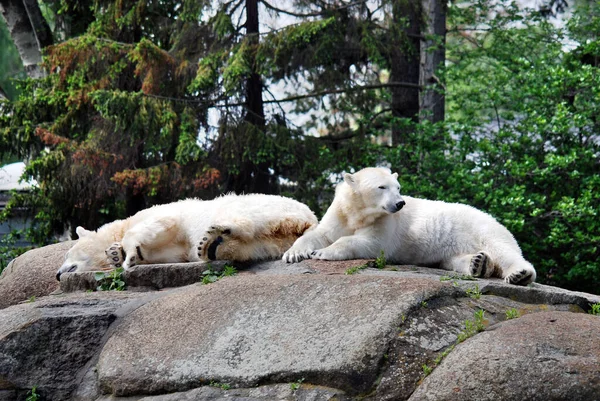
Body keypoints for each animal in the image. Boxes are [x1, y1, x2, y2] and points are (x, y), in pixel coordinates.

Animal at [56, 192, 318, 280]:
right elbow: (168, 251)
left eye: (68, 253)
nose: (58, 274)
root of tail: (308, 218)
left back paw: (214, 235)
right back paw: (211, 246)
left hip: (261, 208)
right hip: (274, 240)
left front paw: (126, 255)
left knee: (243, 218)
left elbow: (159, 225)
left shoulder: (161, 214)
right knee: (254, 246)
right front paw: (115, 252)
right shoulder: (174, 245)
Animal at [284, 166, 536, 284]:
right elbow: (322, 233)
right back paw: (478, 263)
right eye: (381, 187)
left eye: (398, 187)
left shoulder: (386, 222)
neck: (358, 212)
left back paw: (519, 274)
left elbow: (371, 242)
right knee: (454, 260)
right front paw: (294, 253)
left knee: (503, 249)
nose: (400, 203)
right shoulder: (340, 213)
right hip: (455, 247)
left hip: (480, 228)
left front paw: (322, 252)